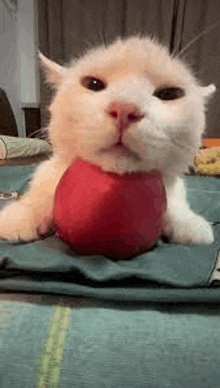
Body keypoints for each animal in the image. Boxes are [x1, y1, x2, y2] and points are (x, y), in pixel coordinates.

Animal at [0, 36, 216, 244]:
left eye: (169, 94)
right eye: (93, 84)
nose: (125, 109)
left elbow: (175, 198)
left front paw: (187, 222)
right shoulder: (49, 169)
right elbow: (43, 188)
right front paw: (23, 215)